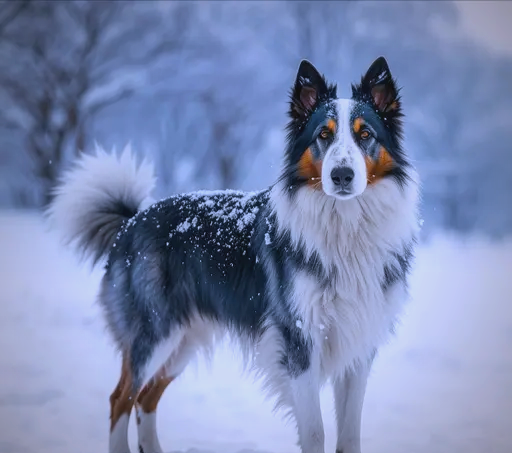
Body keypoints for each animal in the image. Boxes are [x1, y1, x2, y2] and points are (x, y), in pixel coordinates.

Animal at [49, 57, 420, 452]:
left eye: (365, 135)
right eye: (324, 135)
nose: (342, 175)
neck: (346, 226)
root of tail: (133, 220)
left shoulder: (359, 346)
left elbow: (350, 435)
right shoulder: (298, 341)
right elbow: (315, 431)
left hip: (185, 339)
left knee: (146, 398)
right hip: (154, 332)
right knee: (121, 397)